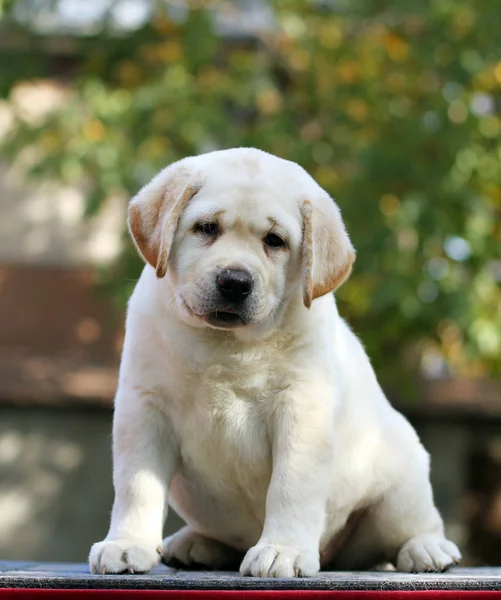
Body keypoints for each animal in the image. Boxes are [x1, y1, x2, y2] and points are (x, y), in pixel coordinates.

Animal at [89, 146, 460, 576]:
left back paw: (427, 549)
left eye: (275, 241)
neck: (225, 345)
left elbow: (290, 487)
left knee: (411, 527)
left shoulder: (302, 411)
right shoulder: (144, 407)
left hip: (401, 486)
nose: (234, 282)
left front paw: (282, 551)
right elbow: (137, 484)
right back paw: (195, 542)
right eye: (207, 228)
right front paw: (127, 543)